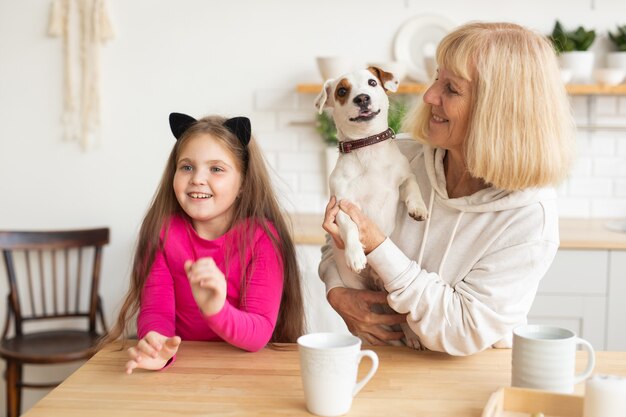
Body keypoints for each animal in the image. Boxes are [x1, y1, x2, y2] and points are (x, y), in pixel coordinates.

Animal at [314, 66, 426, 286]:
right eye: (342, 91)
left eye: (372, 82)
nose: (362, 98)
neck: (366, 146)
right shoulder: (341, 204)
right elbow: (350, 226)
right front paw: (355, 254)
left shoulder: (404, 176)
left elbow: (413, 185)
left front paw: (418, 207)